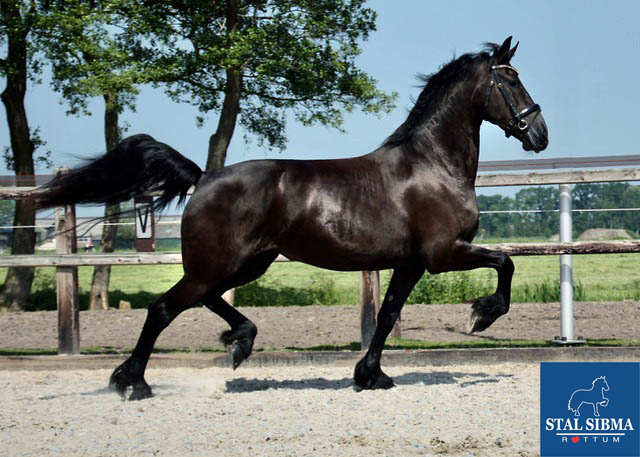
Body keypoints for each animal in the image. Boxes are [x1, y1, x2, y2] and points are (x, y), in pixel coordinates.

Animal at [35, 37, 548, 398]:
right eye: (511, 80)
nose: (539, 134)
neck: (431, 166)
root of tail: (204, 177)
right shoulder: (442, 254)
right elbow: (505, 263)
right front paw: (483, 315)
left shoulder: (410, 262)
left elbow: (387, 315)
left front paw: (371, 376)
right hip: (217, 264)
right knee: (164, 308)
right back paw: (134, 383)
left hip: (247, 263)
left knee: (205, 300)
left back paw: (237, 341)